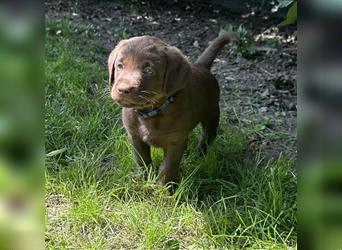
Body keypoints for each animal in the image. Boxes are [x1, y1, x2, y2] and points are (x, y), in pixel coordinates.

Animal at [108, 33, 234, 184]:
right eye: (120, 65)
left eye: (148, 70)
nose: (123, 89)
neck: (151, 113)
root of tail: (201, 66)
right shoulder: (134, 136)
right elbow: (142, 160)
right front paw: (145, 179)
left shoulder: (175, 141)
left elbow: (168, 168)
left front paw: (162, 187)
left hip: (212, 113)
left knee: (207, 136)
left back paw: (199, 155)